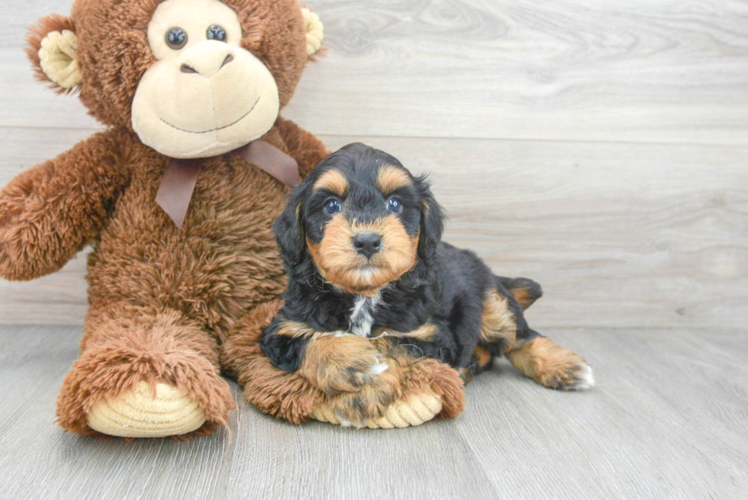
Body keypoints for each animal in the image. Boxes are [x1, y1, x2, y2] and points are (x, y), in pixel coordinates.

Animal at [260, 144, 592, 414]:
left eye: (395, 204)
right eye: (331, 206)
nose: (367, 241)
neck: (365, 294)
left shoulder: (434, 336)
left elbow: (393, 343)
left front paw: (368, 380)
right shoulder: (282, 327)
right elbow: (310, 340)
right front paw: (350, 363)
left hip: (492, 302)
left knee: (519, 336)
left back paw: (564, 366)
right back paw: (470, 366)